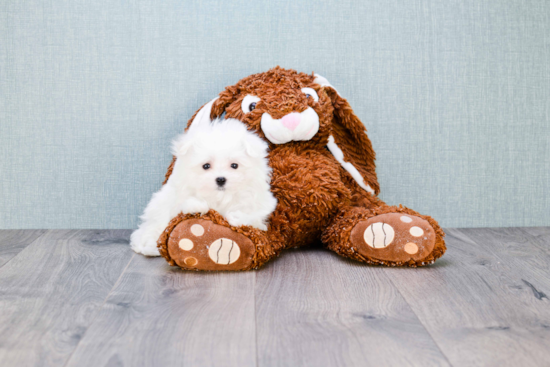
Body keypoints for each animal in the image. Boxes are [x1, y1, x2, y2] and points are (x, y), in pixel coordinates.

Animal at [131, 119, 278, 258]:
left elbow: (252, 215)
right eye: (206, 166)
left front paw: (236, 216)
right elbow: (186, 202)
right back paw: (151, 248)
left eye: (234, 165)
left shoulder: (259, 201)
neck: (221, 196)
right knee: (151, 231)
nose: (220, 179)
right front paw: (197, 206)